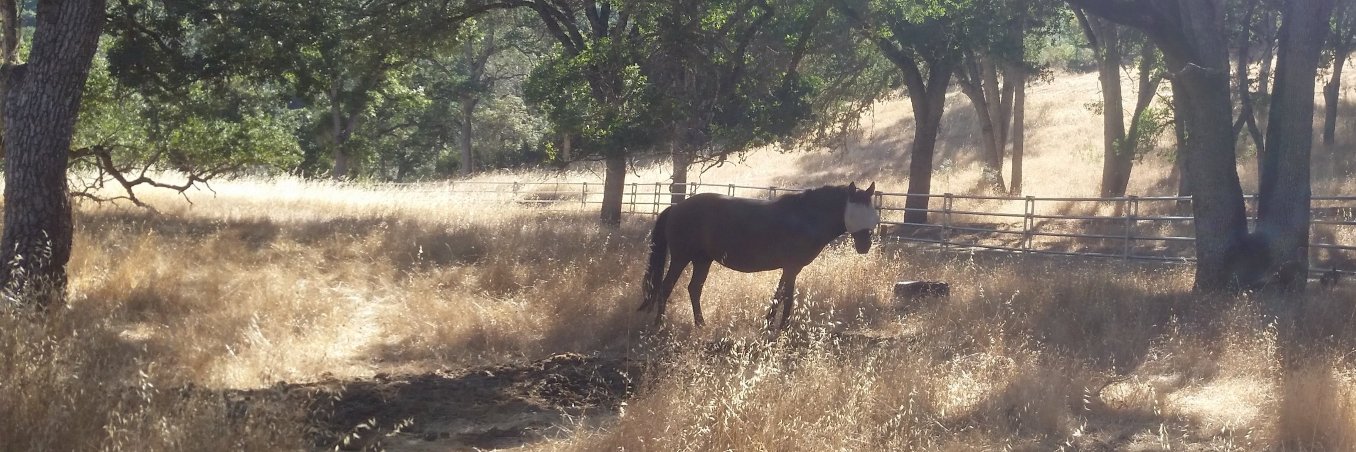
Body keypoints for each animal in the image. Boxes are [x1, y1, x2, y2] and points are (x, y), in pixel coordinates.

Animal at [637, 182, 880, 330]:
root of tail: (676, 207)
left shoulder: (791, 268)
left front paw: (772, 324)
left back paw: (701, 324)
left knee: (694, 289)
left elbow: (780, 294)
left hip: (702, 260)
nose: (865, 246)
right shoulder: (791, 266)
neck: (806, 217)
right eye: (856, 211)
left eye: (871, 210)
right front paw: (781, 327)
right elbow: (786, 296)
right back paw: (659, 324)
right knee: (666, 287)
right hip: (681, 258)